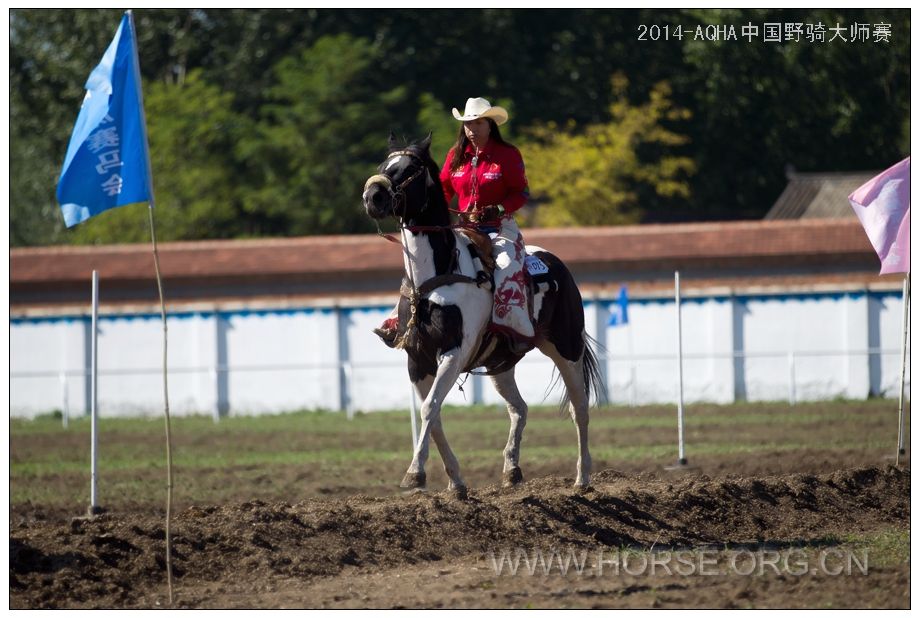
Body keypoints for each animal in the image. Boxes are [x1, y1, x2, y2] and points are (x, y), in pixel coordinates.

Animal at [362, 134, 600, 496]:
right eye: (383, 164)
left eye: (411, 168)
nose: (372, 196)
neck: (436, 274)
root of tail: (557, 264)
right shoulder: (417, 360)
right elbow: (433, 414)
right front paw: (455, 481)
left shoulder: (454, 353)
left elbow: (430, 407)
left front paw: (415, 474)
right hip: (500, 364)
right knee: (519, 408)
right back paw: (512, 469)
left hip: (566, 347)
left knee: (580, 408)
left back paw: (582, 477)